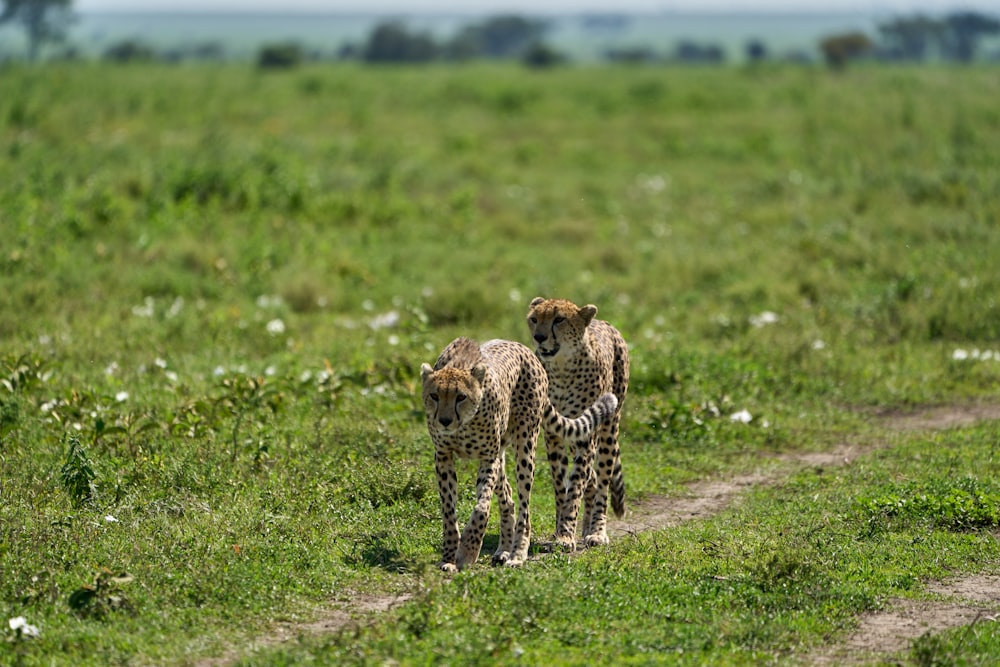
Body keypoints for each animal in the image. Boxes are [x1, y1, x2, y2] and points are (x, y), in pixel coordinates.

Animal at [420, 340, 616, 576]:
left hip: (525, 445)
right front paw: (449, 557)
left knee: (524, 507)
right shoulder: (443, 457)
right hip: (502, 451)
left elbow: (481, 508)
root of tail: (522, 348)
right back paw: (504, 550)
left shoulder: (488, 458)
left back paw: (517, 554)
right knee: (508, 497)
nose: (445, 421)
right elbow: (449, 512)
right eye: (434, 396)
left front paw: (467, 551)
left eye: (461, 397)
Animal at [528, 298, 628, 548]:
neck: (562, 368)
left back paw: (597, 531)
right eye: (534, 319)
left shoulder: (585, 436)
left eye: (559, 319)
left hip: (609, 427)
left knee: (602, 481)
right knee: (591, 479)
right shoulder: (554, 435)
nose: (539, 337)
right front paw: (561, 532)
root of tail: (605, 322)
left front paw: (565, 534)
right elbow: (561, 486)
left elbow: (575, 489)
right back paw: (585, 526)